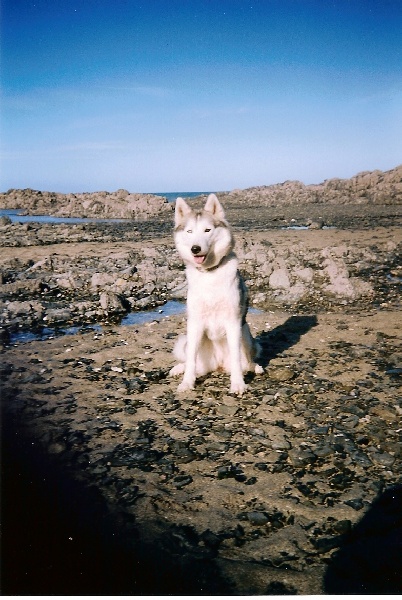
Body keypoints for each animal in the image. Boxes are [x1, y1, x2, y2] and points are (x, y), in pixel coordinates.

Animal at [168, 195, 262, 396]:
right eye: (189, 231)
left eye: (207, 230)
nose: (195, 248)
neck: (210, 274)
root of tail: (218, 365)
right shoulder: (195, 323)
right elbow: (191, 360)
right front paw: (186, 383)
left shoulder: (233, 322)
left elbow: (236, 358)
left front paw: (238, 384)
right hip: (190, 343)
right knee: (192, 362)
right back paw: (179, 368)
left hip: (245, 331)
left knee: (247, 360)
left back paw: (255, 367)